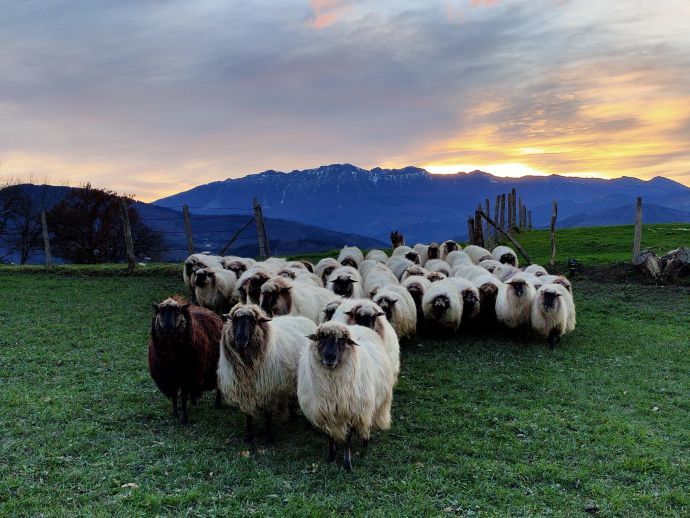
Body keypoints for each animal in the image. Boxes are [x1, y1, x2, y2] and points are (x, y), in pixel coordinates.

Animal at [148, 296, 223, 426]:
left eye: (177, 312)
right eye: (160, 312)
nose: (168, 327)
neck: (171, 357)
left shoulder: (186, 376)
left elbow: (182, 397)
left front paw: (184, 419)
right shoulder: (169, 377)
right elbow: (174, 395)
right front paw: (175, 414)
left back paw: (217, 403)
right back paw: (193, 401)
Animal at [216, 306, 316, 444]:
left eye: (253, 321)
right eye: (235, 320)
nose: (240, 341)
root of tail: (305, 319)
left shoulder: (268, 389)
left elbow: (268, 416)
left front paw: (269, 438)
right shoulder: (245, 391)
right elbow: (248, 416)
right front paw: (249, 437)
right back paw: (292, 416)